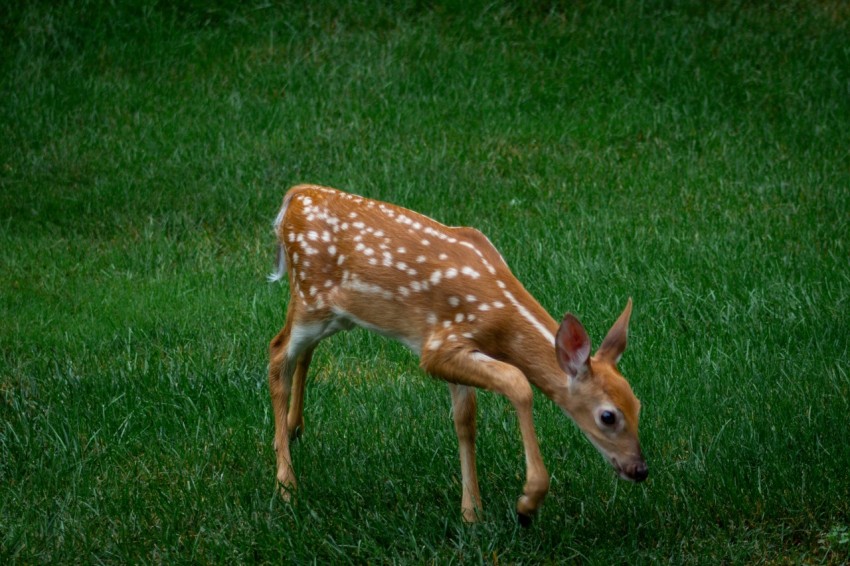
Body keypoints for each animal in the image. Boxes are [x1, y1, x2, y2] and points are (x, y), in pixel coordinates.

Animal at [267, 184, 647, 525]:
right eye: (608, 416)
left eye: (637, 404)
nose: (640, 469)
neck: (501, 319)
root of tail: (294, 196)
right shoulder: (439, 346)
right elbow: (518, 382)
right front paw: (527, 503)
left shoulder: (457, 351)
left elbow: (465, 421)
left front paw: (471, 514)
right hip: (311, 297)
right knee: (277, 353)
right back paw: (286, 485)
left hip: (334, 315)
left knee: (302, 353)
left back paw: (295, 428)